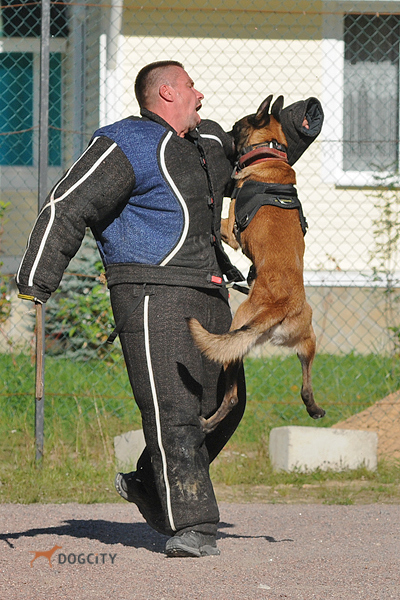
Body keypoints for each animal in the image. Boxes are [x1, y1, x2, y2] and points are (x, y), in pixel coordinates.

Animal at [188, 92, 324, 432]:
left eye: (236, 126)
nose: (223, 133)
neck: (270, 156)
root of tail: (282, 305)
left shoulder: (232, 230)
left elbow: (221, 224)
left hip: (236, 338)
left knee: (232, 396)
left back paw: (208, 422)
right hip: (307, 340)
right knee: (306, 386)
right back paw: (314, 409)